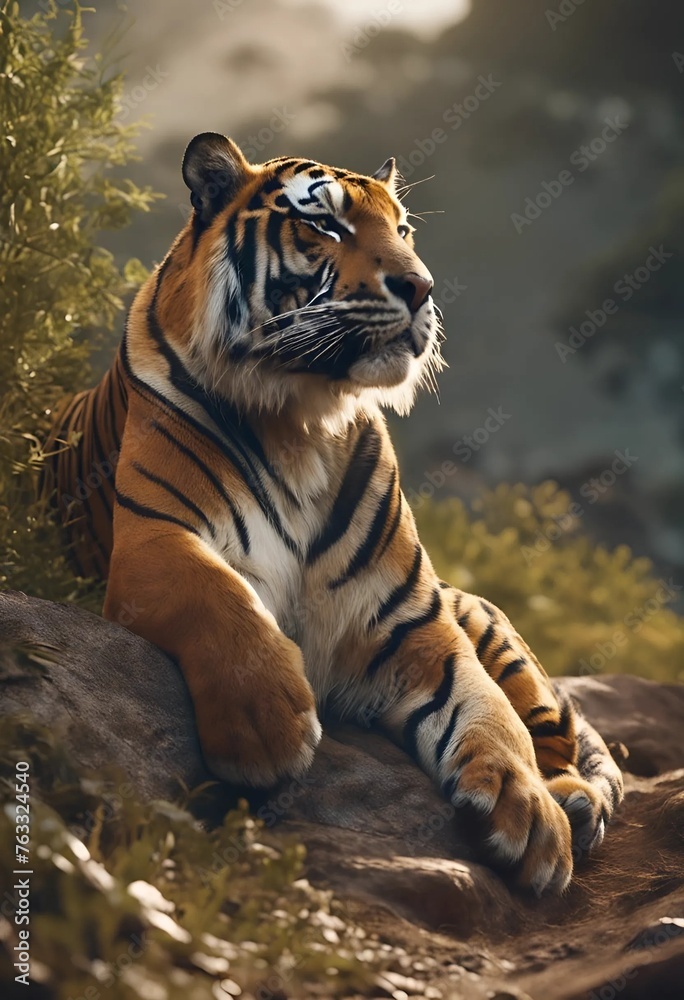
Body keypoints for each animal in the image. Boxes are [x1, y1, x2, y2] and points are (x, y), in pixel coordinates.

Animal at [44, 132, 624, 894]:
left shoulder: (413, 617)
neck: (303, 418)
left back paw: (573, 802)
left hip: (494, 632)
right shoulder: (155, 540)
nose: (422, 287)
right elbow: (219, 597)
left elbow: (487, 709)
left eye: (403, 230)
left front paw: (532, 816)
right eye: (325, 224)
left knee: (554, 732)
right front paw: (268, 729)